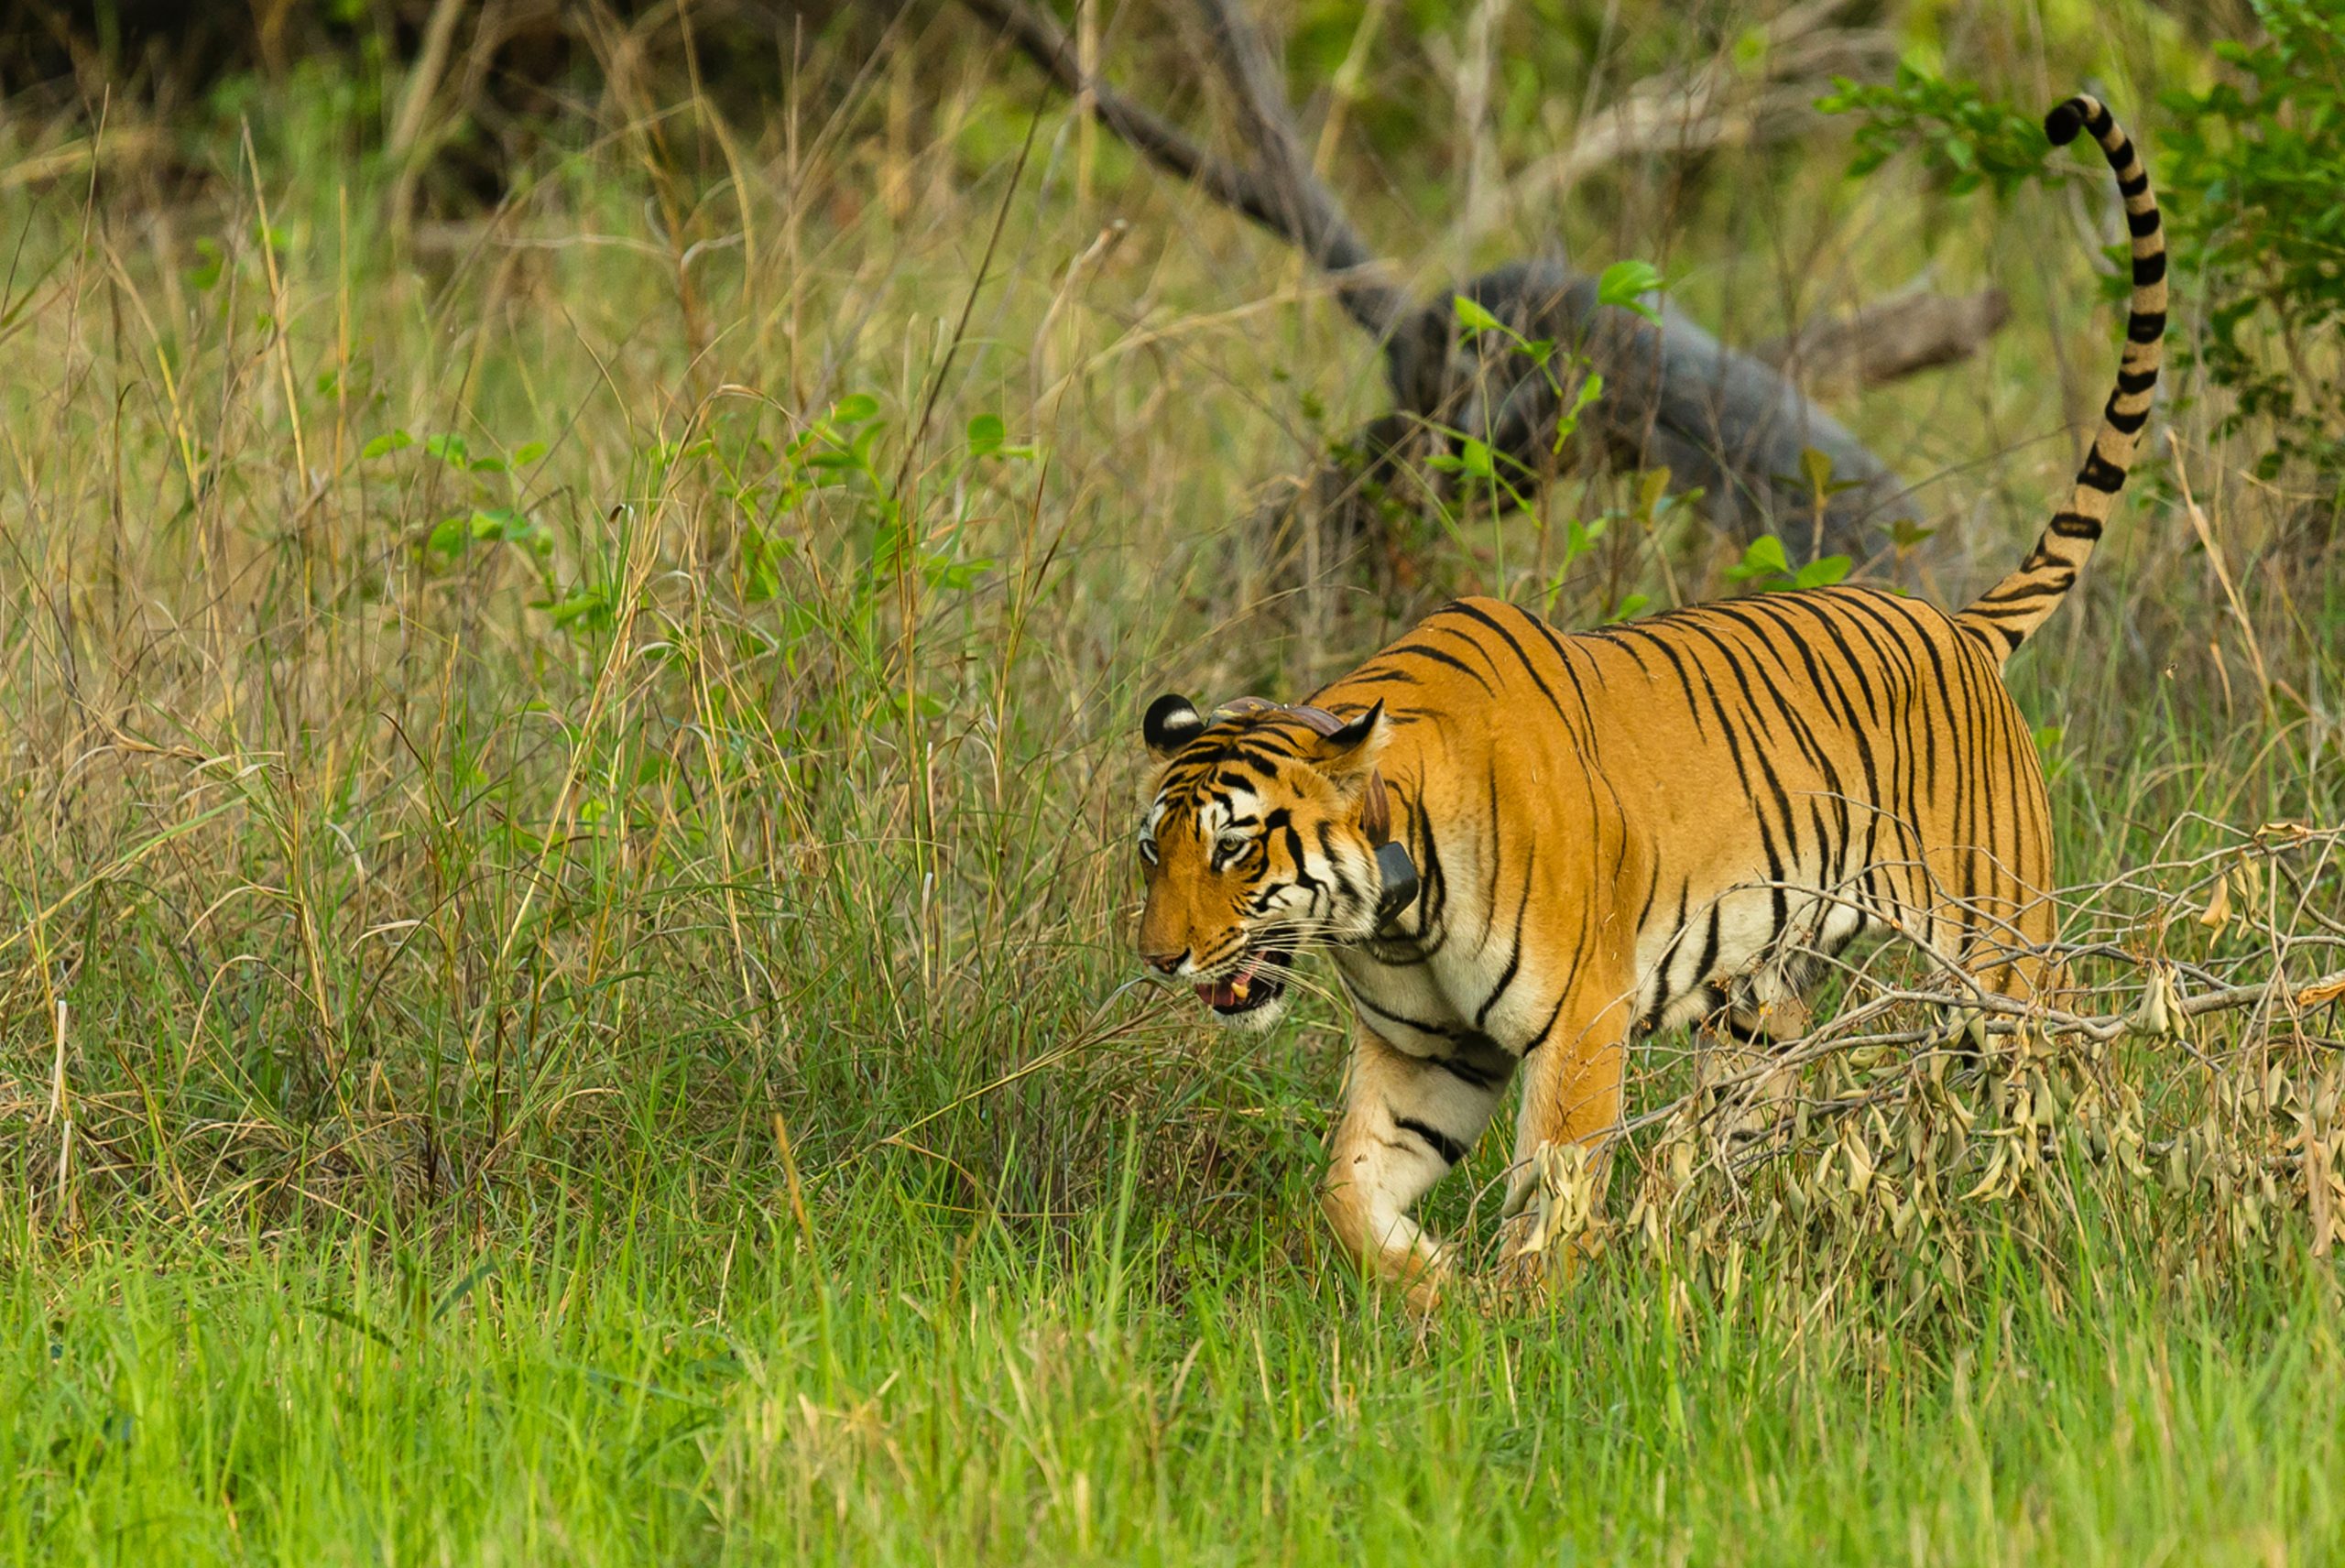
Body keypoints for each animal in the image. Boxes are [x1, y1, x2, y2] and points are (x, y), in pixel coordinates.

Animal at [1129, 92, 2157, 1302]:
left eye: (1235, 847)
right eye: (1152, 851)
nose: (1158, 958)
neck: (1391, 908)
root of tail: (1953, 621)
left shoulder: (1579, 1020)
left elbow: (1554, 1189)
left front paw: (1522, 1315)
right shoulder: (1425, 1054)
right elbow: (1348, 1190)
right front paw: (1433, 1288)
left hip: (1999, 953)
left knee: (2072, 1075)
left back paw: (2097, 1225)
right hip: (1762, 1003)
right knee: (1738, 1131)